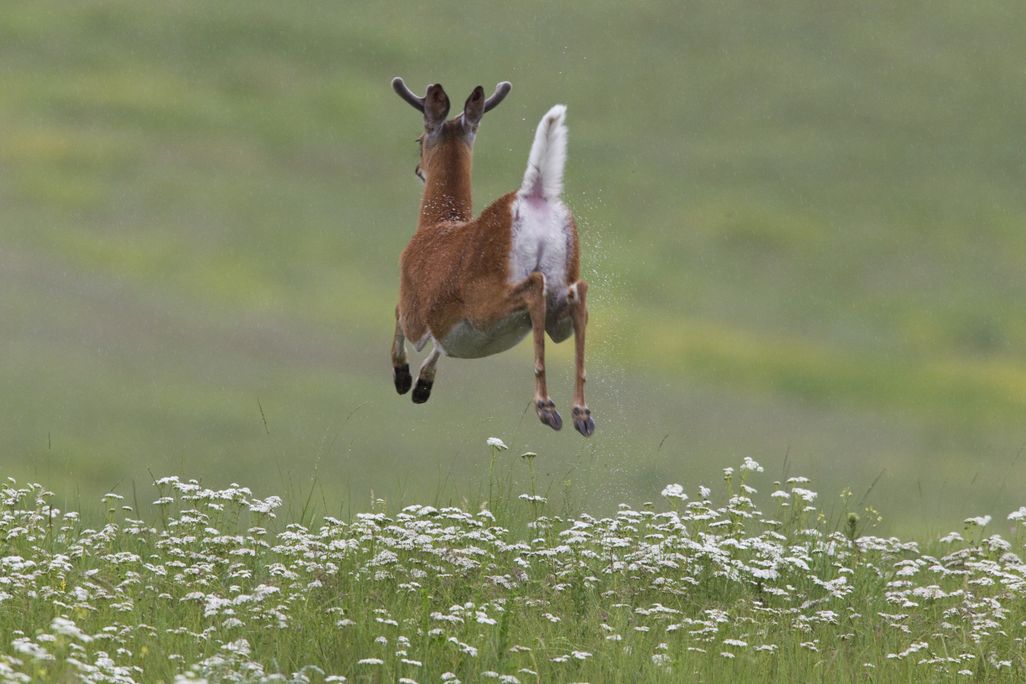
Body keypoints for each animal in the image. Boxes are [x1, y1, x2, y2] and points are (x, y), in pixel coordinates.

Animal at [389, 77, 595, 437]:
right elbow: (441, 347)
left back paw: (547, 407)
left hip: (486, 301)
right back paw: (580, 414)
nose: (418, 169)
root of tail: (534, 195)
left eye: (419, 140)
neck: (436, 223)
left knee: (535, 288)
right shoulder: (446, 329)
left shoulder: (416, 306)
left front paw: (404, 378)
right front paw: (422, 386)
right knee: (578, 293)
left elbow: (399, 316)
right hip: (561, 293)